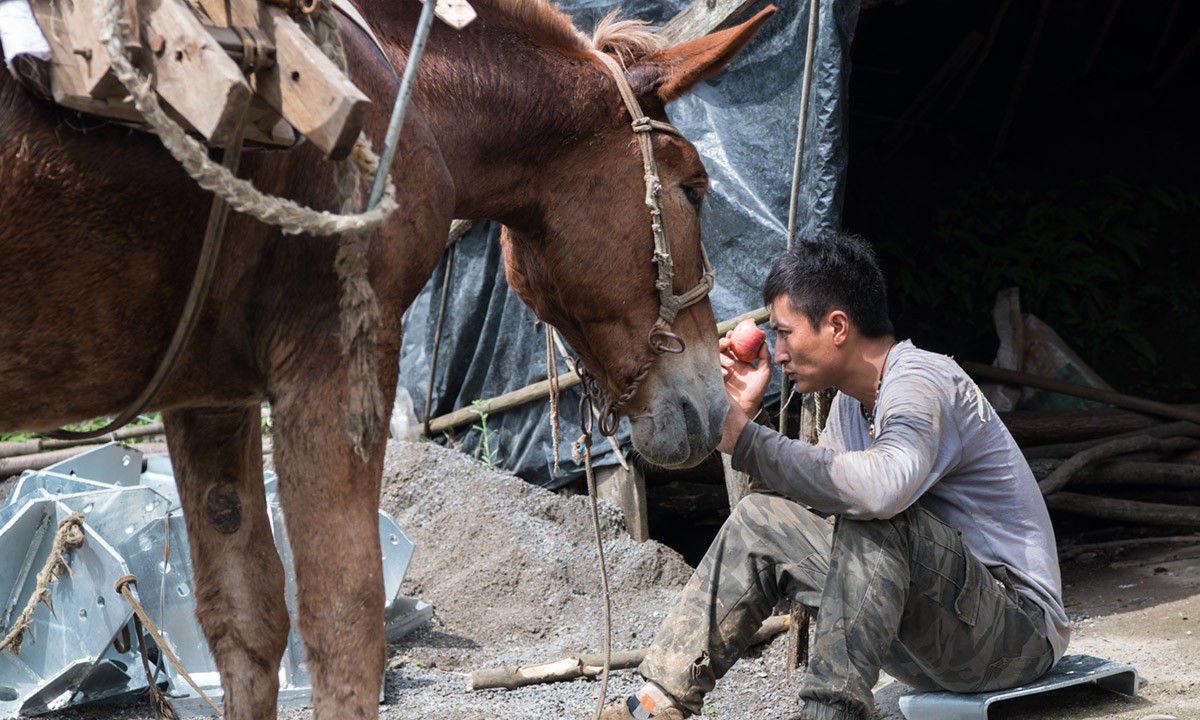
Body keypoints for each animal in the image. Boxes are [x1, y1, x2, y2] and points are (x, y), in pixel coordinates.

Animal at [0, 2, 768, 715]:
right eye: (695, 187)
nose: (712, 403)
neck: (394, 88)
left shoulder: (210, 393)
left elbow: (245, 619)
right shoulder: (337, 359)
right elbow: (345, 619)